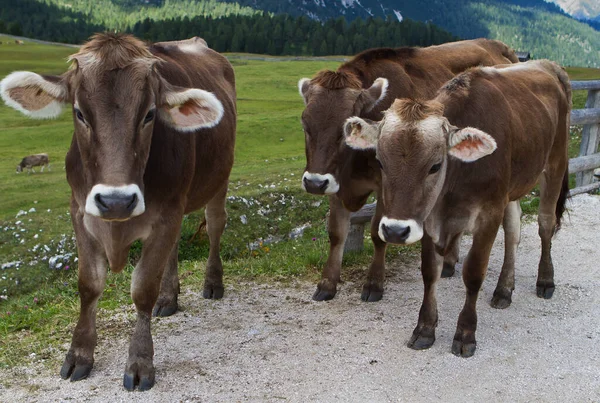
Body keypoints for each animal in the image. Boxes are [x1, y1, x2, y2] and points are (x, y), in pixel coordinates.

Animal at [2, 33, 237, 392]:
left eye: (150, 114)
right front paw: (79, 354)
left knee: (214, 227)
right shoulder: (80, 212)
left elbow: (142, 289)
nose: (116, 201)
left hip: (218, 180)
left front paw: (140, 362)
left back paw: (212, 282)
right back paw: (168, 298)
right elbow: (89, 284)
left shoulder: (166, 212)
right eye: (80, 113)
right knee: (174, 248)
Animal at [298, 38, 516, 304]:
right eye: (305, 124)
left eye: (346, 128)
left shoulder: (385, 185)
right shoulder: (336, 182)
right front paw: (327, 283)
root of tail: (497, 45)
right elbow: (336, 233)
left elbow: (376, 232)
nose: (314, 183)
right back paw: (449, 262)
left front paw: (374, 283)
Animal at [344, 59, 568, 356]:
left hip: (555, 164)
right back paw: (504, 289)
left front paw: (465, 333)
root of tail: (548, 64)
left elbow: (473, 274)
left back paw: (545, 279)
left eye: (435, 165)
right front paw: (425, 328)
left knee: (545, 224)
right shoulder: (428, 218)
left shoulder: (489, 214)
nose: (394, 231)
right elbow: (430, 272)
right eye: (380, 161)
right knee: (513, 230)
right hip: (513, 187)